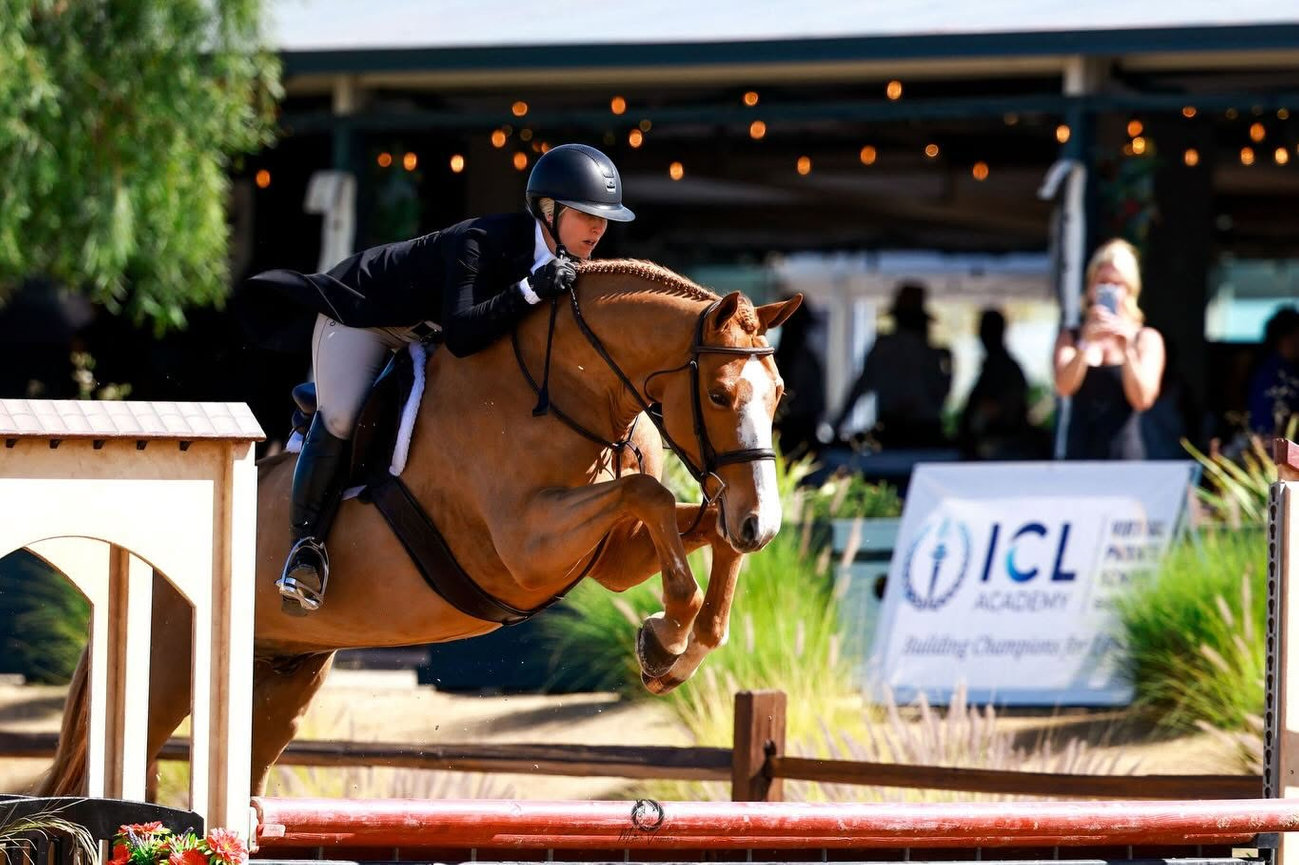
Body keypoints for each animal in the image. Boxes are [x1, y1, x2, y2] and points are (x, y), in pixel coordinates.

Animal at [38, 259, 801, 797]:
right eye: (718, 395)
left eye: (778, 395)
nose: (762, 522)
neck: (566, 387)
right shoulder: (528, 545)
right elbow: (647, 492)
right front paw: (665, 635)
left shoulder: (609, 554)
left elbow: (685, 523)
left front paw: (678, 646)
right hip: (165, 672)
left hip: (281, 678)